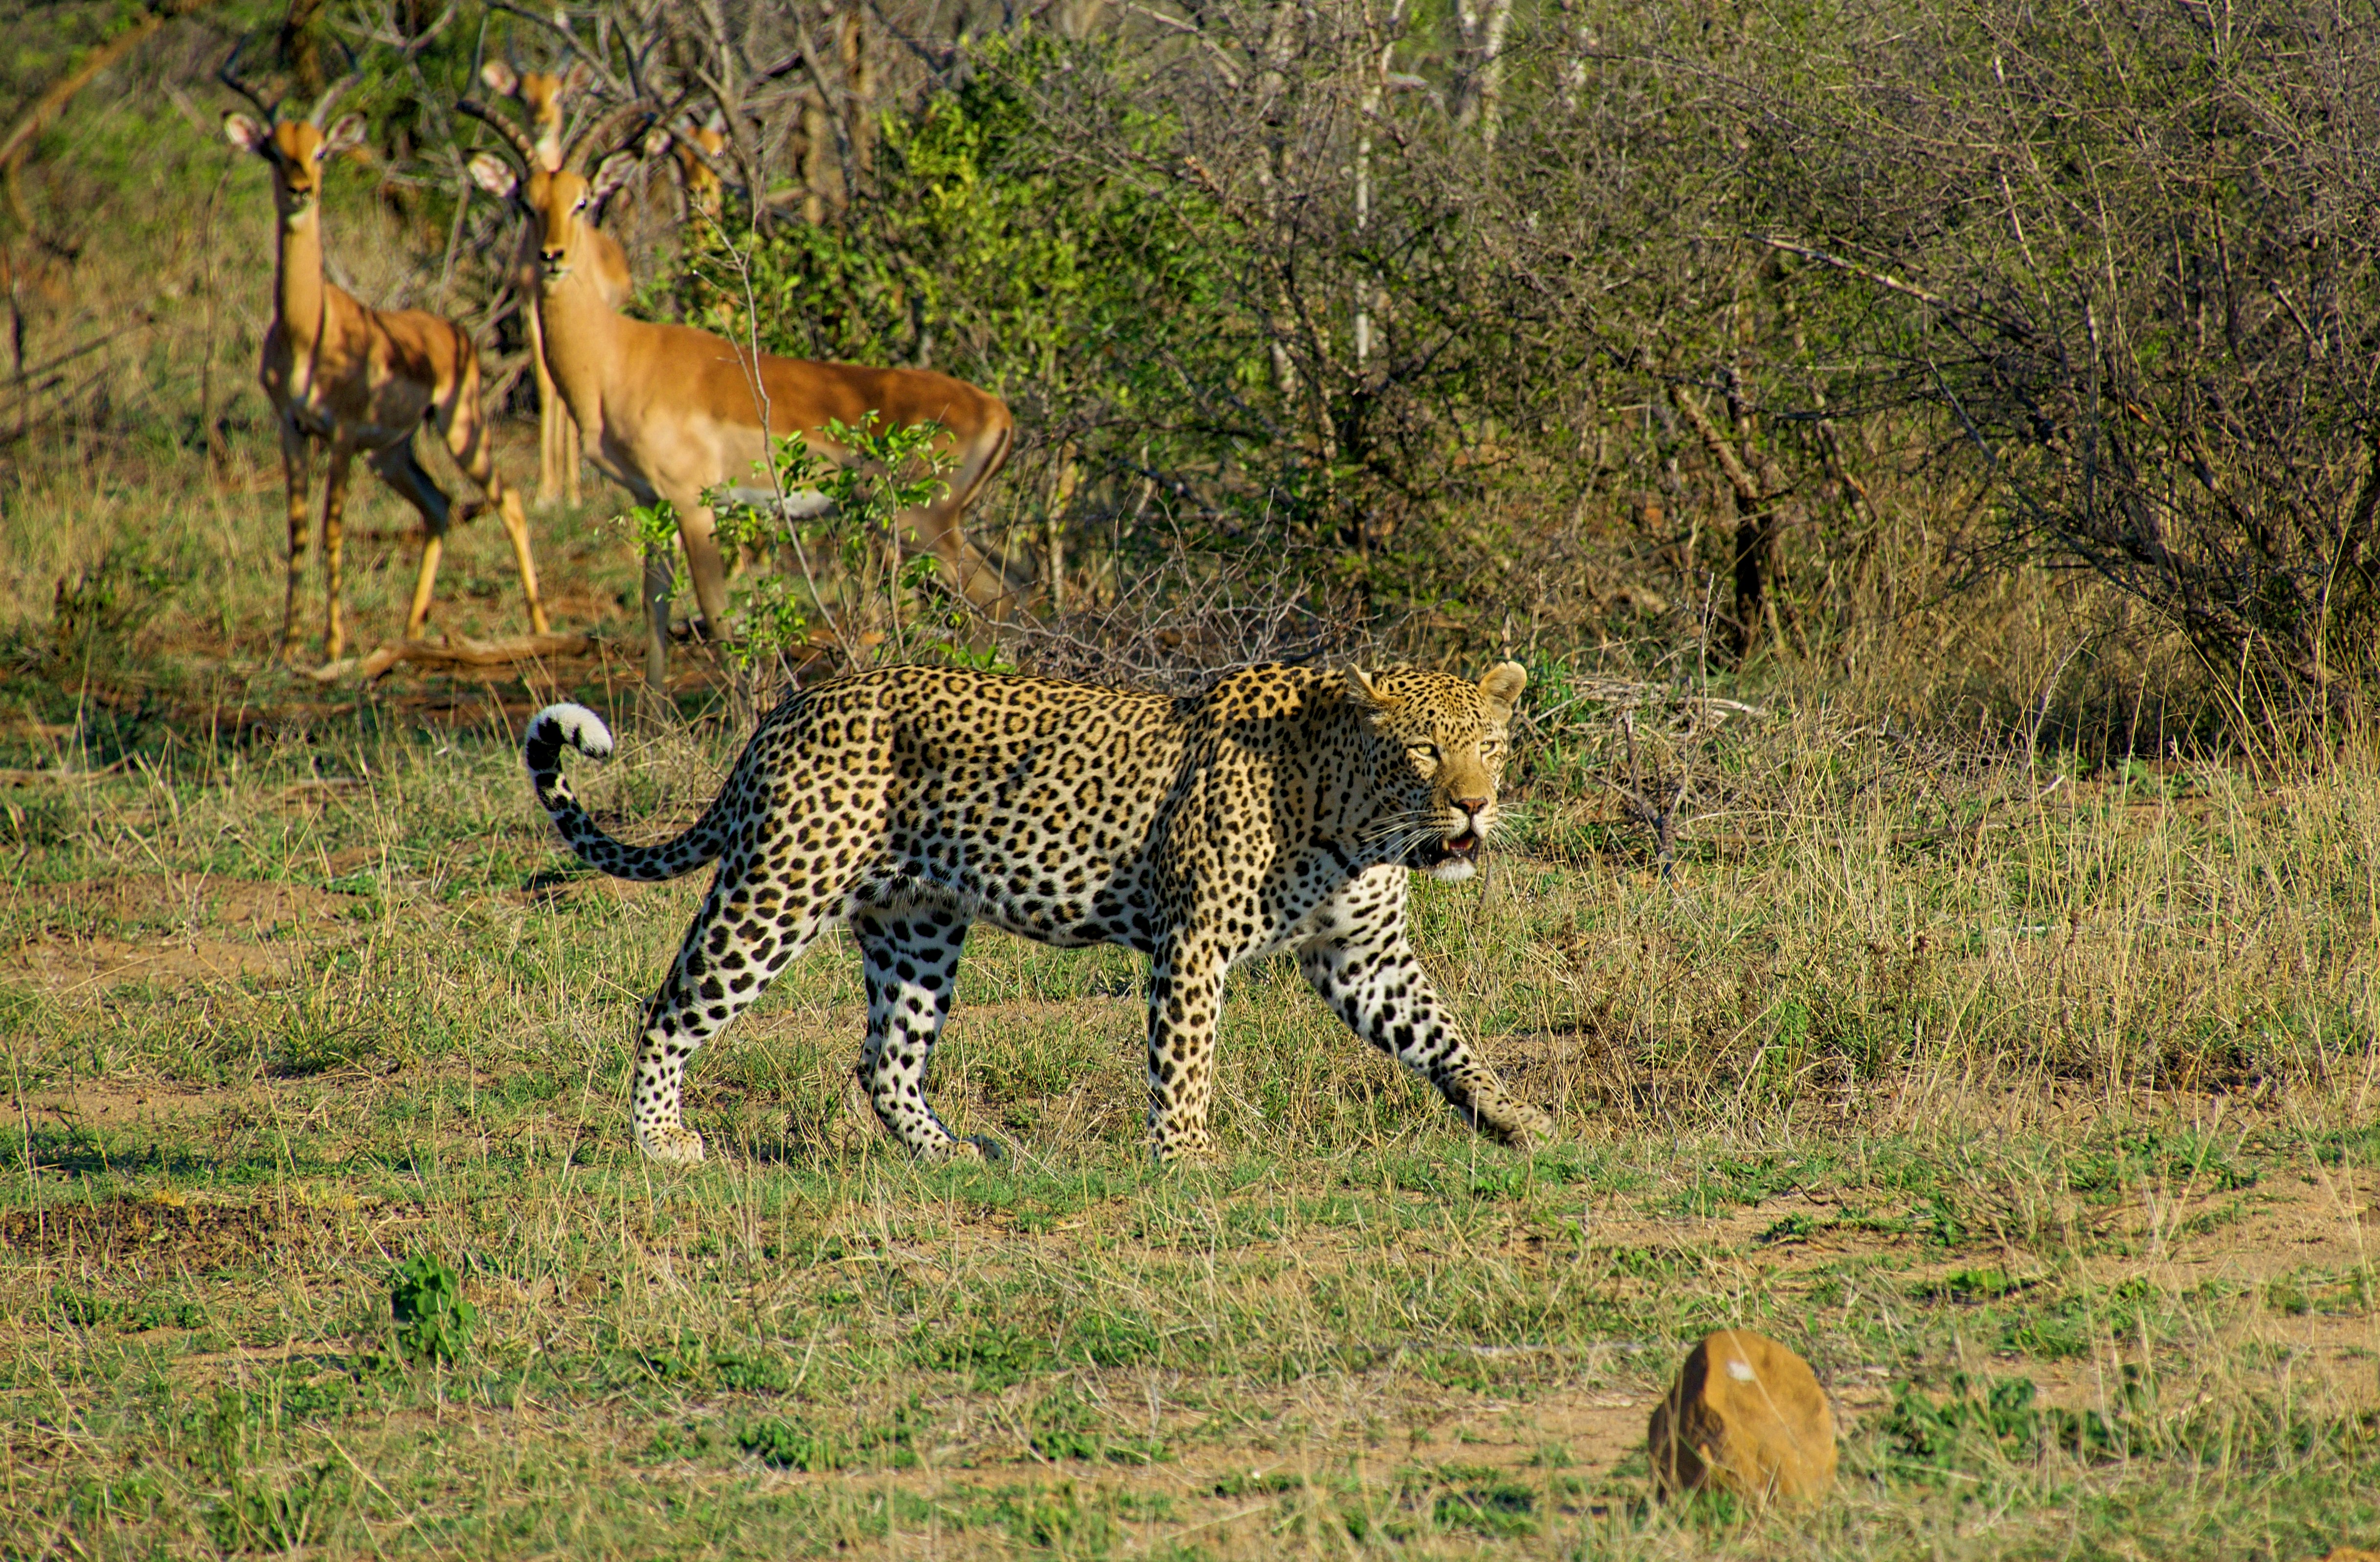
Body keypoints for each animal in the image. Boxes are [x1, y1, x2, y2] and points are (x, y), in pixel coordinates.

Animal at [521, 657, 1551, 1157]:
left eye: (1491, 744)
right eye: (1423, 750)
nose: (1473, 803)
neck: (1359, 818)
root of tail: (787, 710)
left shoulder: (1364, 956)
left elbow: (1445, 1036)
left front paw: (1518, 1120)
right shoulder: (1193, 942)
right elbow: (1185, 1062)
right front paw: (1186, 1159)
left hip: (917, 922)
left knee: (884, 1058)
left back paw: (948, 1154)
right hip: (779, 887)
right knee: (670, 1009)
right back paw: (661, 1141)